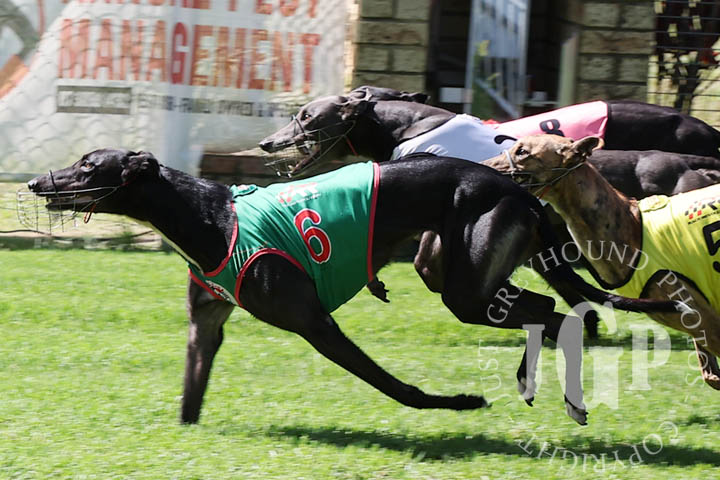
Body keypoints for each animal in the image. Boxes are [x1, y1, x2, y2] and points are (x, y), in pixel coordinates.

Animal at [25, 149, 683, 425]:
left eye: (89, 166)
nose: (35, 182)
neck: (209, 218)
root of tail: (522, 191)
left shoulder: (315, 324)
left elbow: (393, 386)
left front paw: (455, 404)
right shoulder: (204, 325)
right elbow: (191, 393)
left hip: (466, 286)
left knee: (553, 311)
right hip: (447, 267)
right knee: (553, 311)